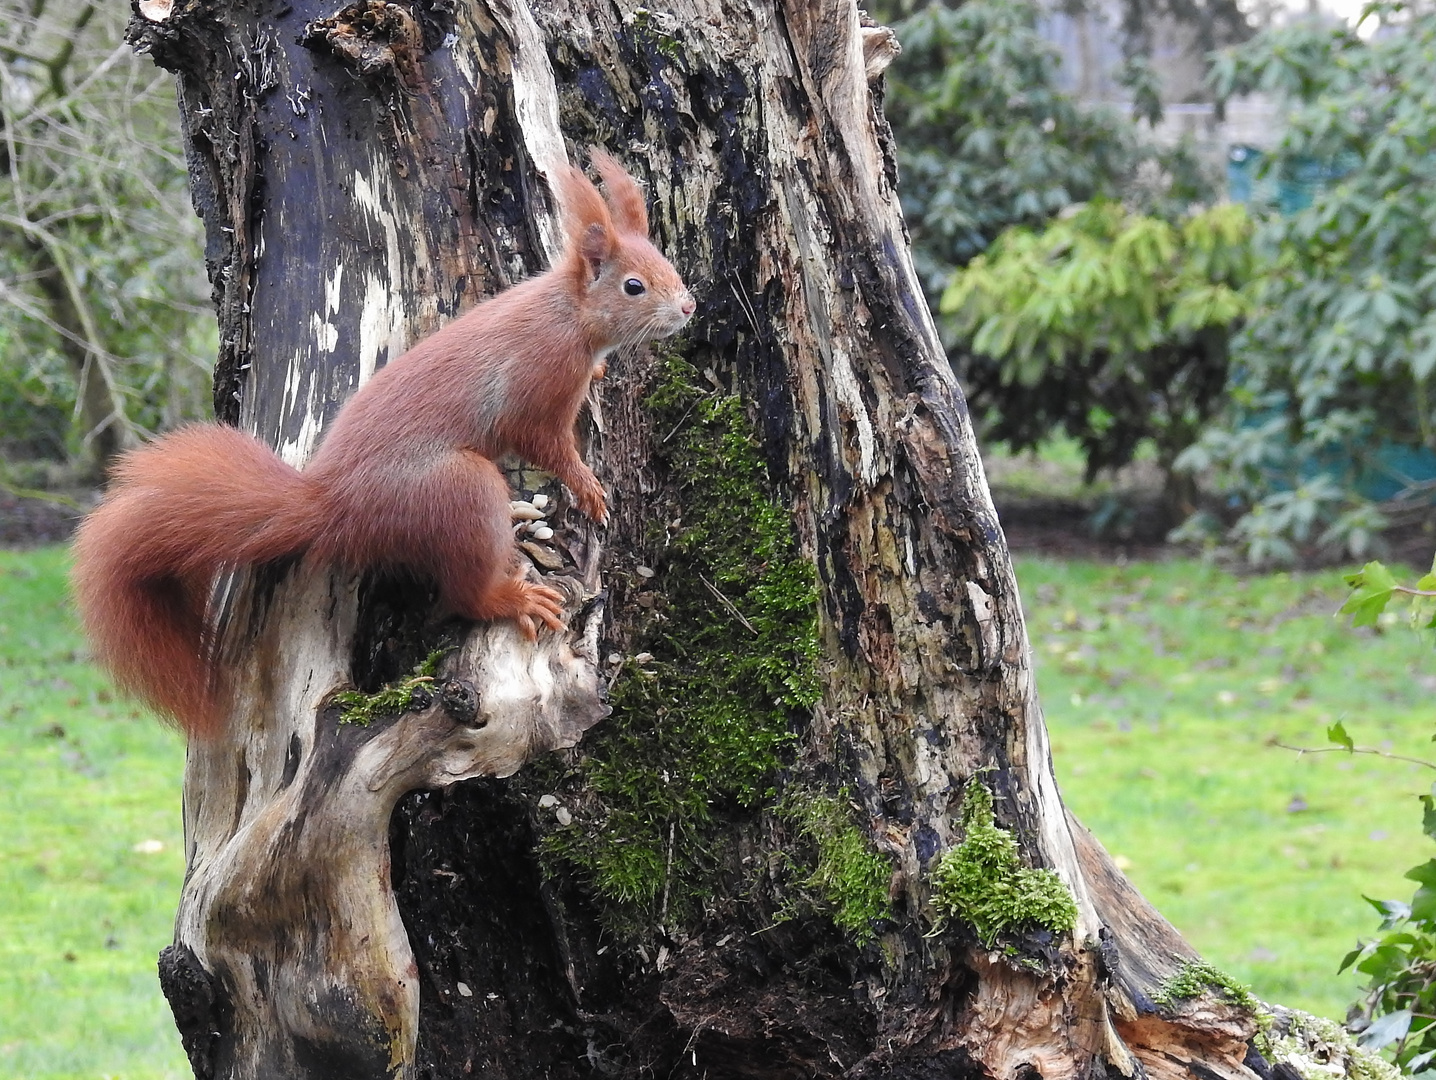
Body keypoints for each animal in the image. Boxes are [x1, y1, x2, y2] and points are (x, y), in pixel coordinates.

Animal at [74, 152, 700, 741]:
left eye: (667, 265)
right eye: (634, 286)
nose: (690, 306)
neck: (568, 312)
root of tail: (333, 508)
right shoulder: (539, 382)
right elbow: (546, 445)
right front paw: (588, 487)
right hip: (457, 488)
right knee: (463, 592)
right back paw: (513, 598)